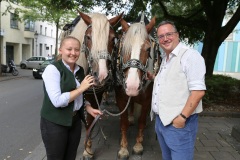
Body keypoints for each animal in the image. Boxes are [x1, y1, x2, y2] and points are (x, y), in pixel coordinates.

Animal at [65, 11, 123, 159]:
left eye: (113, 39)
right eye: (88, 37)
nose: (101, 75)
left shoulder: (96, 94)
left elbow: (91, 119)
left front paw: (88, 148)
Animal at [113, 16, 158, 159]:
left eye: (148, 49)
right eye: (123, 48)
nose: (132, 86)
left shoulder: (147, 100)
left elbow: (142, 122)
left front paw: (138, 145)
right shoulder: (121, 98)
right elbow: (123, 123)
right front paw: (123, 148)